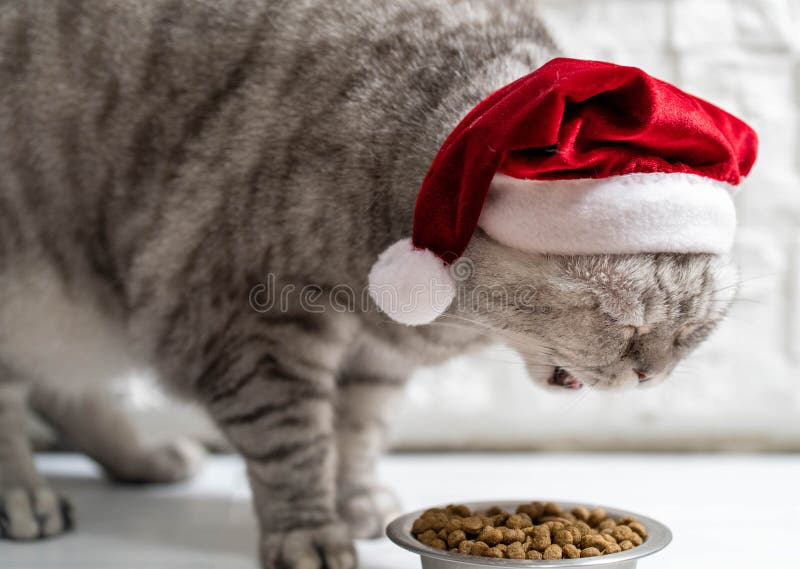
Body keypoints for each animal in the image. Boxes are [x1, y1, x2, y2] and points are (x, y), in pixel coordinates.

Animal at [0, 0, 736, 564]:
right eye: (622, 320)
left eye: (692, 336)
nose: (650, 375)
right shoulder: (252, 327)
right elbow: (292, 438)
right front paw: (309, 528)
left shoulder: (377, 357)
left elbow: (356, 431)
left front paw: (352, 498)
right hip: (34, 290)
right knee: (19, 401)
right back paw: (26, 494)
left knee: (66, 392)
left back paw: (143, 458)